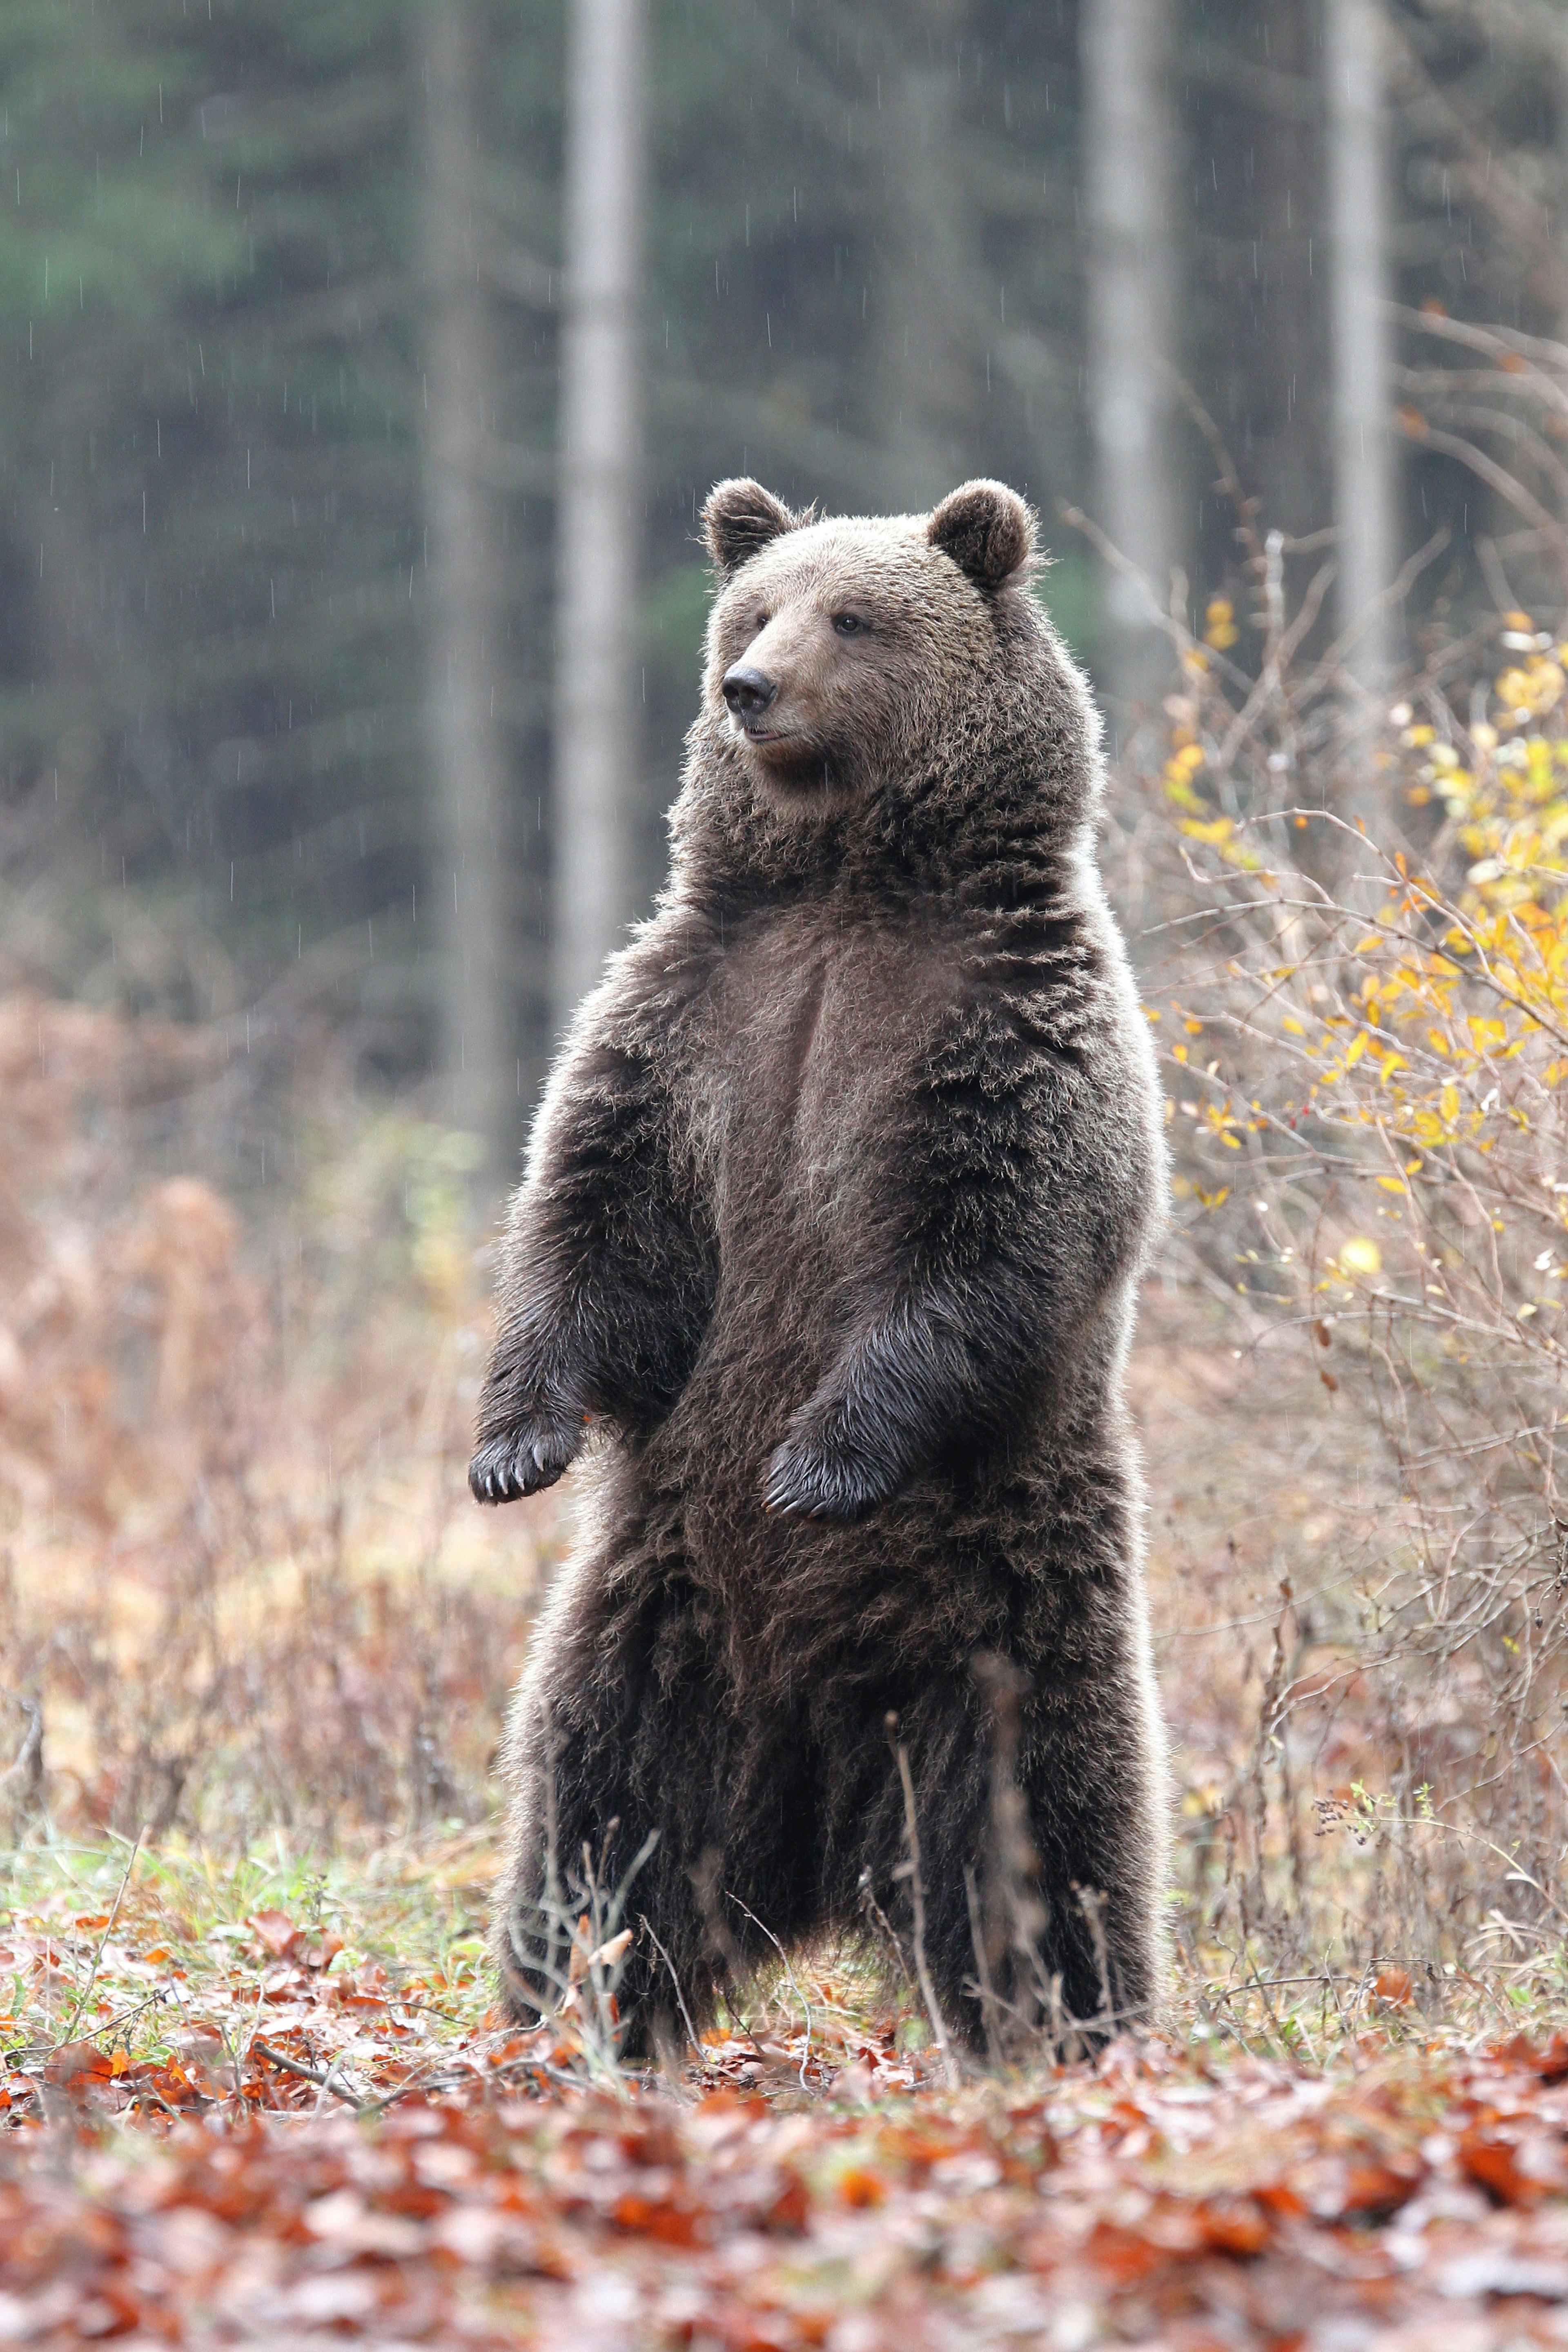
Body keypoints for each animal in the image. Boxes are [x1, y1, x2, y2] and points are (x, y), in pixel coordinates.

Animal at [472, 482, 1171, 2060]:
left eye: (854, 615)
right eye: (754, 607)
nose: (749, 690)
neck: (849, 885)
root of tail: (820, 1852)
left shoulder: (998, 1031)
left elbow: (985, 1247)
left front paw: (818, 1463)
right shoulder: (695, 1020)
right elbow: (595, 1215)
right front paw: (513, 1444)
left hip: (1001, 1635)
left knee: (1046, 1858)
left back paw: (1073, 2038)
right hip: (657, 1640)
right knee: (596, 1841)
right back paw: (568, 2019)